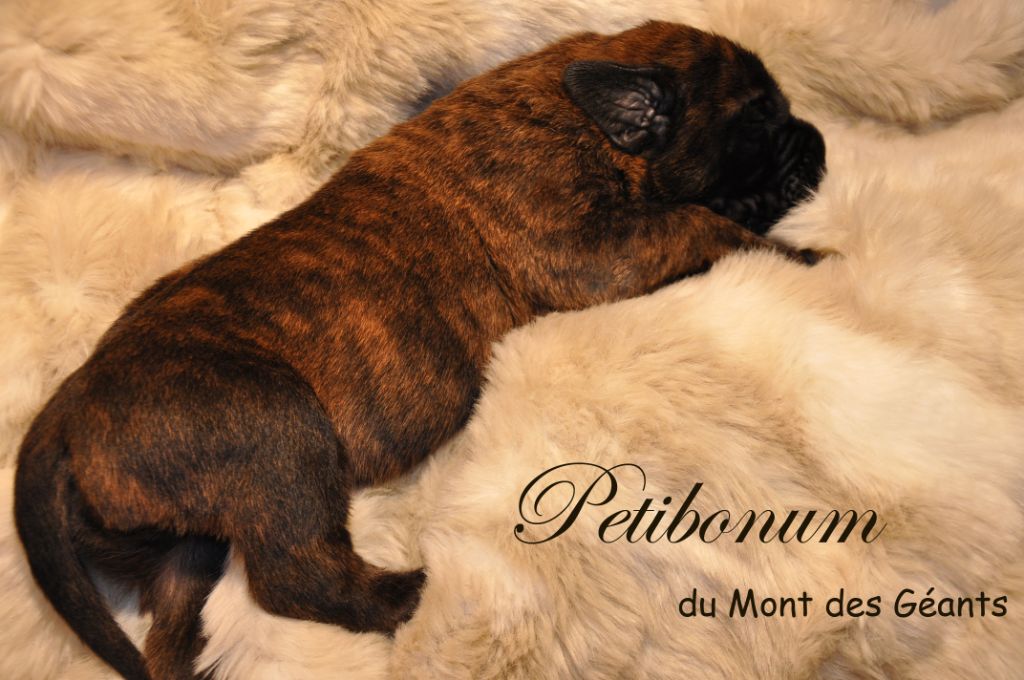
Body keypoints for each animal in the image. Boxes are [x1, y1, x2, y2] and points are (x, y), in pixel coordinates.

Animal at [14, 21, 825, 680]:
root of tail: (72, 403)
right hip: (275, 433)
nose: (816, 138)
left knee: (177, 605)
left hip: (187, 538)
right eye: (758, 117)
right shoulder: (592, 252)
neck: (581, 114)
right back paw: (411, 596)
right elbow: (697, 223)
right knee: (297, 576)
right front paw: (803, 254)